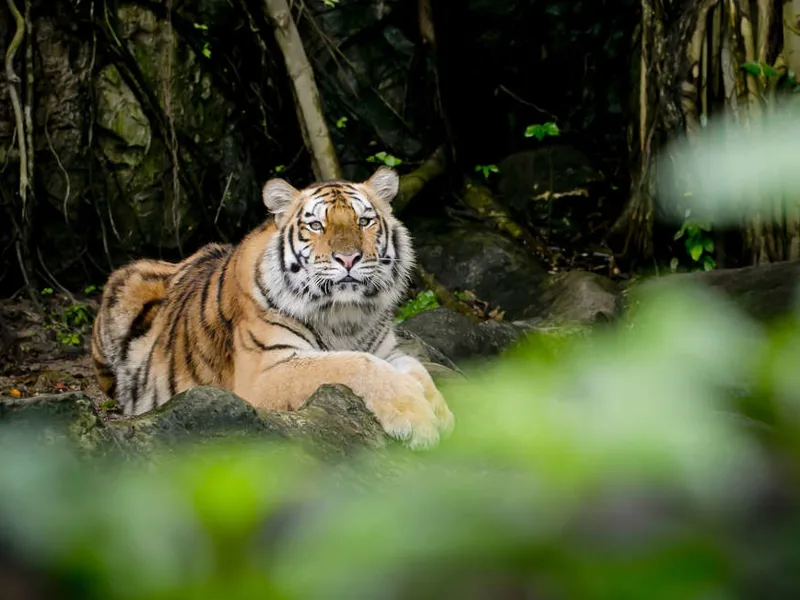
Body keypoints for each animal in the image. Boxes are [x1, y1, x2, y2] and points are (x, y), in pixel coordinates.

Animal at [91, 166, 454, 449]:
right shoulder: (266, 371)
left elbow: (415, 367)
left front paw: (442, 413)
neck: (345, 316)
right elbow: (354, 364)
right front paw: (416, 419)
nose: (348, 258)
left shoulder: (387, 351)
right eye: (316, 225)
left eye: (364, 221)